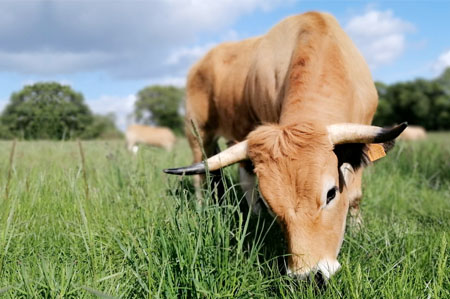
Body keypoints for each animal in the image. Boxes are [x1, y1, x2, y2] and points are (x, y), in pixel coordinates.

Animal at [163, 11, 406, 282]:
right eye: (273, 205)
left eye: (331, 193)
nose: (308, 277)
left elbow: (355, 195)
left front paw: (358, 229)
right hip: (197, 132)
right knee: (203, 176)